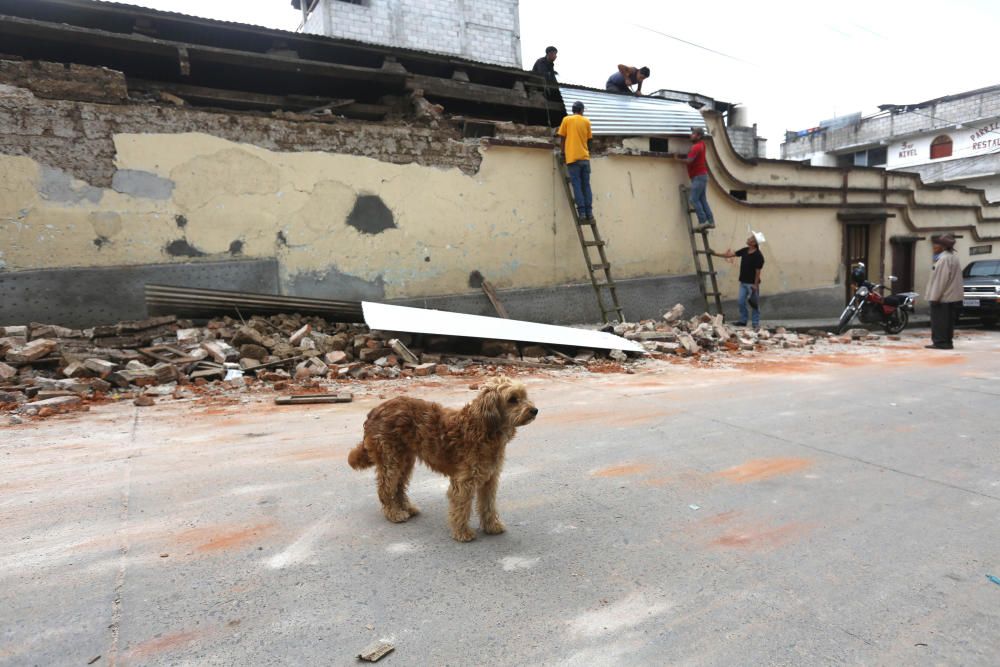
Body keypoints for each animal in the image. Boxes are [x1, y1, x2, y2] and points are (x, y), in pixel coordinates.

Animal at [352, 376, 540, 544]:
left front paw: (492, 526)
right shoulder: (464, 482)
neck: (484, 428)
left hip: (405, 461)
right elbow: (462, 508)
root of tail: (375, 410)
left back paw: (407, 508)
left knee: (398, 487)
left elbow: (488, 505)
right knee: (385, 488)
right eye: (512, 399)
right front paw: (462, 533)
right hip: (391, 460)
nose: (535, 410)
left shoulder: (490, 479)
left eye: (524, 396)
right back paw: (394, 513)